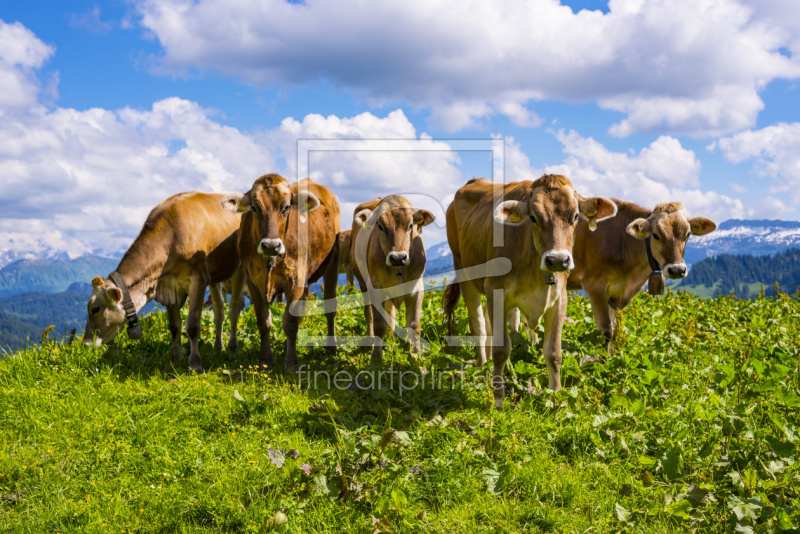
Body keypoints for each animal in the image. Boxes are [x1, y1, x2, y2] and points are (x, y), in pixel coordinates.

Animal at [83, 192, 244, 372]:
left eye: (95, 309)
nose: (85, 344)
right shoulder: (167, 285)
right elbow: (174, 326)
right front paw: (176, 358)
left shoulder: (198, 280)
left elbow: (192, 326)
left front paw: (195, 364)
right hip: (215, 277)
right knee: (219, 310)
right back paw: (217, 347)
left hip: (240, 268)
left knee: (234, 308)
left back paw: (232, 348)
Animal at [222, 175, 340, 372]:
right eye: (254, 208)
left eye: (286, 207)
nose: (271, 245)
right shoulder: (253, 281)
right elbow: (264, 322)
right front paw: (265, 360)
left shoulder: (295, 279)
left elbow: (290, 322)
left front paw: (291, 363)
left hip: (333, 261)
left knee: (329, 306)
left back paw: (331, 349)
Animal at [352, 197, 438, 364]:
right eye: (380, 226)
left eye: (410, 225)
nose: (398, 257)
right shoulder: (375, 288)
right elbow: (379, 324)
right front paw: (376, 359)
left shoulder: (417, 288)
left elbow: (413, 324)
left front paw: (416, 357)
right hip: (363, 284)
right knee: (369, 313)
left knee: (390, 313)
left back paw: (393, 341)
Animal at [440, 176, 616, 410]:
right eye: (534, 217)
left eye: (575, 216)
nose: (558, 260)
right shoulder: (496, 292)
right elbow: (501, 349)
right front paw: (499, 400)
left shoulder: (559, 301)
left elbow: (554, 353)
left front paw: (555, 399)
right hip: (464, 270)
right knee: (478, 324)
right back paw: (483, 365)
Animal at [568, 201, 720, 344]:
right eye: (656, 235)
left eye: (687, 234)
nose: (677, 270)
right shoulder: (595, 287)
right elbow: (606, 335)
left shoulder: (617, 296)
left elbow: (617, 335)